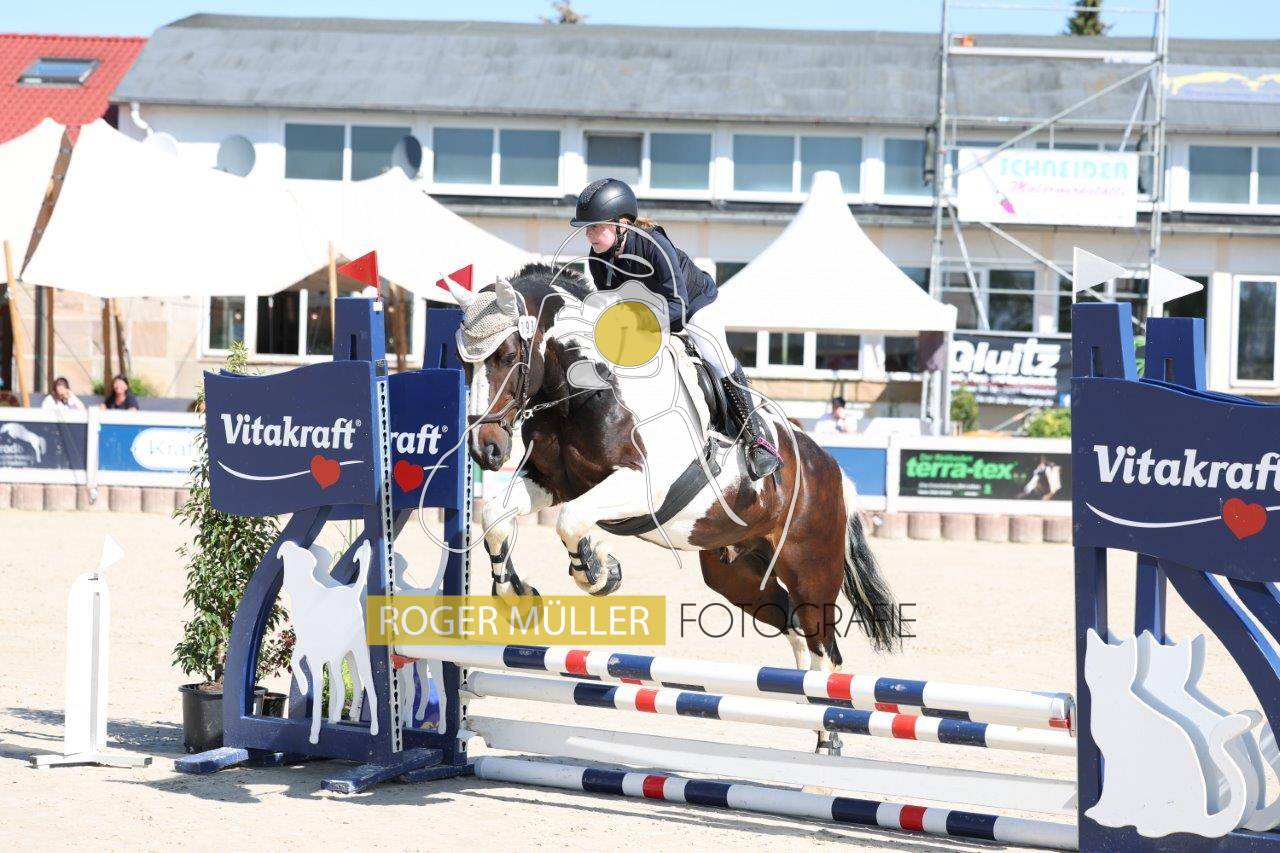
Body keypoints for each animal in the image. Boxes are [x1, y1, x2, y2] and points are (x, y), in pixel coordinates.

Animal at [449, 263, 899, 691]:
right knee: (791, 625)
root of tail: (834, 472)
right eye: (463, 364)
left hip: (810, 569)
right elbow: (495, 516)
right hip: (735, 573)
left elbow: (571, 520)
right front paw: (520, 596)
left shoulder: (642, 488)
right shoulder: (551, 481)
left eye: (508, 356)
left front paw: (600, 572)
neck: (583, 390)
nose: (485, 449)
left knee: (824, 647)